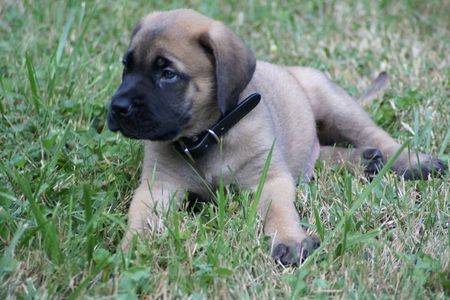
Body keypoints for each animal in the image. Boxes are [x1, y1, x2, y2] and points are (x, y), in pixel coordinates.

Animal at [107, 8, 444, 264]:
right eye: (126, 67)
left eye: (168, 74)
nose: (116, 108)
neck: (209, 137)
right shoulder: (158, 187)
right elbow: (139, 219)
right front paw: (129, 250)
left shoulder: (269, 178)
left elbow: (278, 211)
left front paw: (290, 239)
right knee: (321, 154)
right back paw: (363, 160)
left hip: (335, 105)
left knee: (376, 136)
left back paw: (413, 162)